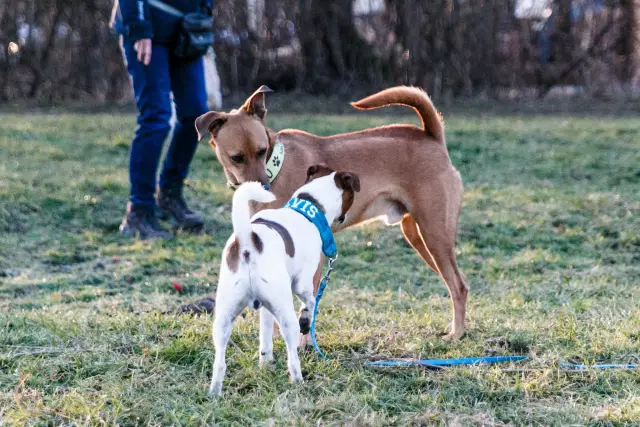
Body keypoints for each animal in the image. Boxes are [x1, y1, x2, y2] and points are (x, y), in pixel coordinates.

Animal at [196, 86, 470, 342]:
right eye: (237, 158)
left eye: (263, 151)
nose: (262, 188)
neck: (278, 168)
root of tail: (431, 137)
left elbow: (306, 308)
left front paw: (303, 344)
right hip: (419, 237)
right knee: (455, 282)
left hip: (434, 235)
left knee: (459, 286)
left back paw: (456, 333)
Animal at [210, 165, 360, 398]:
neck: (307, 208)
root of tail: (248, 242)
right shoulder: (303, 283)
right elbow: (311, 302)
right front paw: (306, 319)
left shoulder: (265, 307)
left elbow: (265, 335)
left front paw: (265, 362)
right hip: (286, 316)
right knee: (292, 353)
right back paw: (298, 380)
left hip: (224, 318)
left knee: (219, 362)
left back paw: (214, 392)